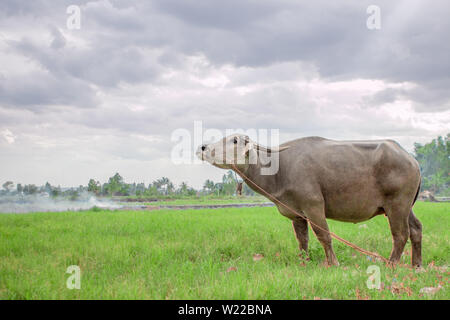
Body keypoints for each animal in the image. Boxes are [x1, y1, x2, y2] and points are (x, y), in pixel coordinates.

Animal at [196, 134, 422, 266]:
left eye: (234, 141)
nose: (203, 147)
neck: (279, 169)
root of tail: (411, 159)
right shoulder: (297, 213)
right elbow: (302, 239)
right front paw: (303, 261)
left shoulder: (313, 205)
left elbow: (324, 236)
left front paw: (333, 264)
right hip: (406, 206)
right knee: (416, 229)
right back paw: (417, 265)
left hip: (397, 204)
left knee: (400, 234)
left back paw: (391, 264)